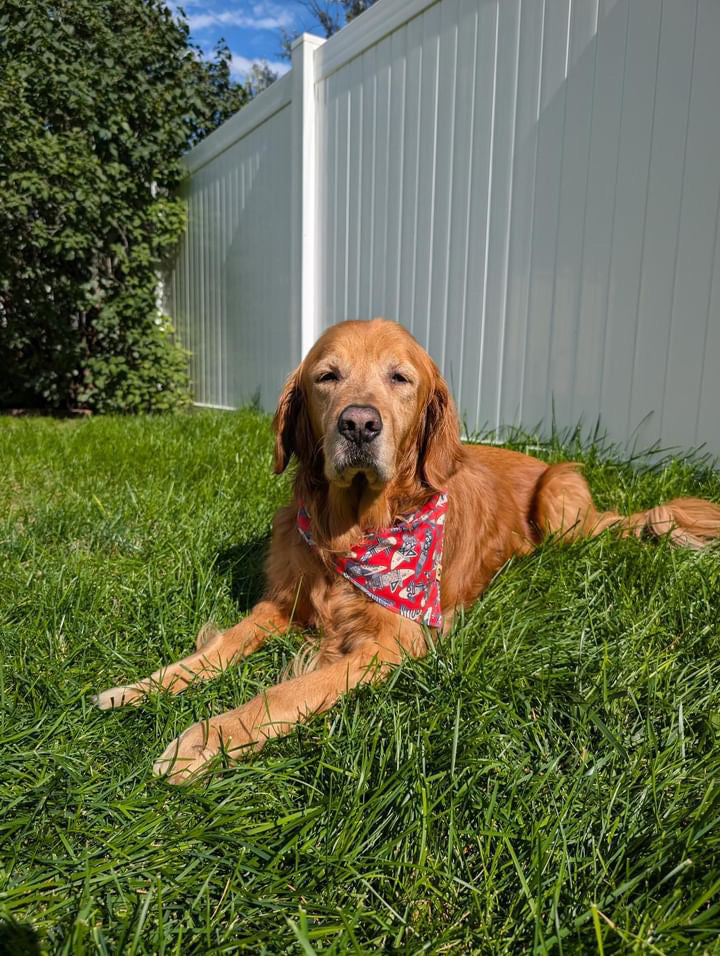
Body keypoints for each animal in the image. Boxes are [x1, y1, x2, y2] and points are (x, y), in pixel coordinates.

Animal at [93, 318, 720, 780]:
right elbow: (217, 649)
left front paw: (206, 740)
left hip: (562, 502)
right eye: (327, 375)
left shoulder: (395, 641)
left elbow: (294, 689)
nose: (358, 425)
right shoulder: (280, 605)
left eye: (400, 378)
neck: (351, 533)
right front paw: (139, 689)